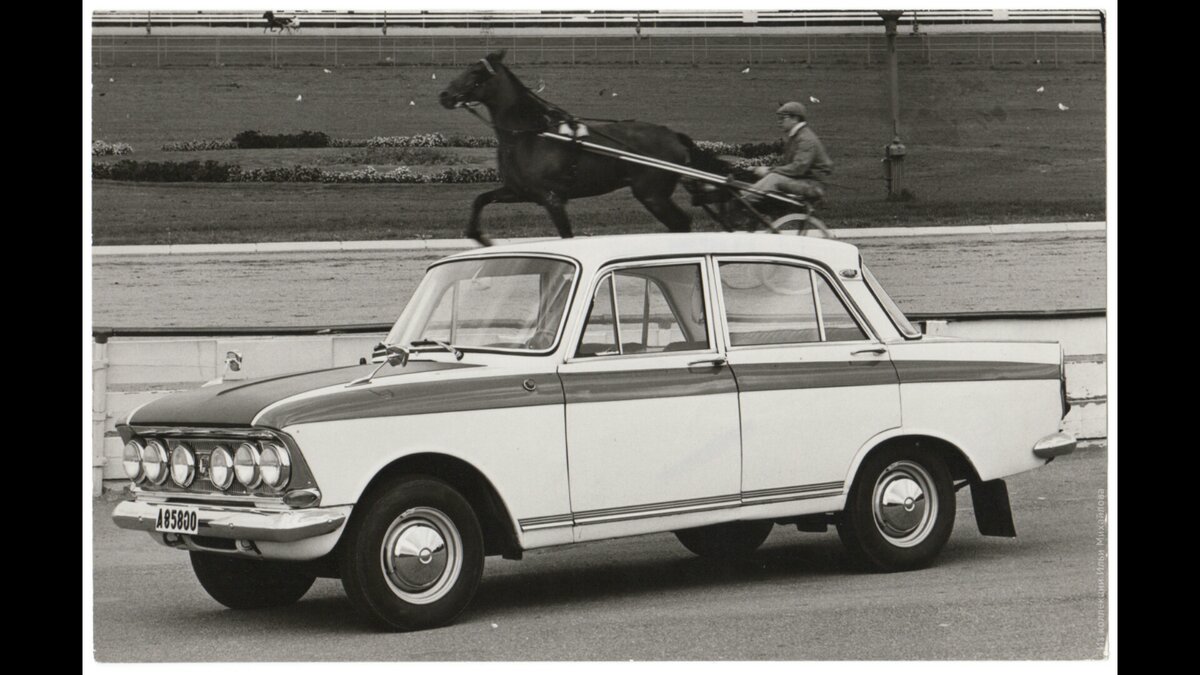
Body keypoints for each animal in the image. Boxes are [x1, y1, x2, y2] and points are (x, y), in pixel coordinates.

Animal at [438, 50, 734, 246]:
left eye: (475, 72)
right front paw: (479, 237)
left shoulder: (551, 198)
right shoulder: (520, 190)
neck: (531, 134)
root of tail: (673, 135)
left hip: (652, 194)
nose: (444, 95)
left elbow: (567, 235)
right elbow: (481, 199)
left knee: (681, 223)